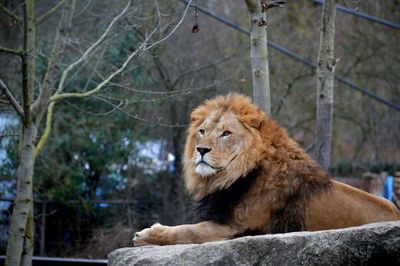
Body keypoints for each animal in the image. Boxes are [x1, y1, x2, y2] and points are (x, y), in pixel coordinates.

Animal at [134, 93, 400, 245]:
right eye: (202, 131)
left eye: (226, 133)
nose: (201, 149)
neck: (229, 176)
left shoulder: (234, 227)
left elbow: (186, 231)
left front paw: (147, 234)